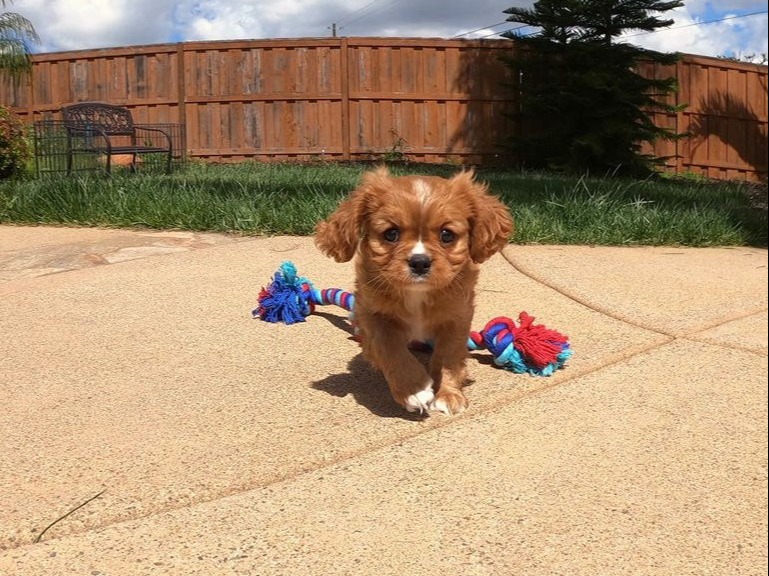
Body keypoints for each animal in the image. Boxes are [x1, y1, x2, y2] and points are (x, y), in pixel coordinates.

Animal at [316, 166, 512, 414]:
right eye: (391, 234)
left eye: (447, 235)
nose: (420, 262)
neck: (417, 294)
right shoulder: (372, 314)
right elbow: (390, 348)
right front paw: (414, 390)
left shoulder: (457, 317)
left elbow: (448, 355)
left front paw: (449, 394)